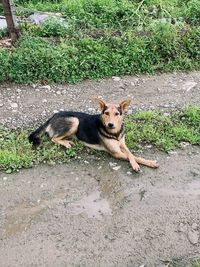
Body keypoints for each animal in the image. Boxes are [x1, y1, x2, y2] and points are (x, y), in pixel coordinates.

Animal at [28, 98, 159, 172]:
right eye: (106, 113)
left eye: (117, 114)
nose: (110, 124)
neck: (115, 133)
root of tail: (53, 116)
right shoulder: (116, 153)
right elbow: (133, 156)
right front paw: (140, 164)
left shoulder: (122, 144)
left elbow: (131, 154)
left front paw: (147, 162)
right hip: (75, 121)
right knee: (53, 138)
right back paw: (66, 142)